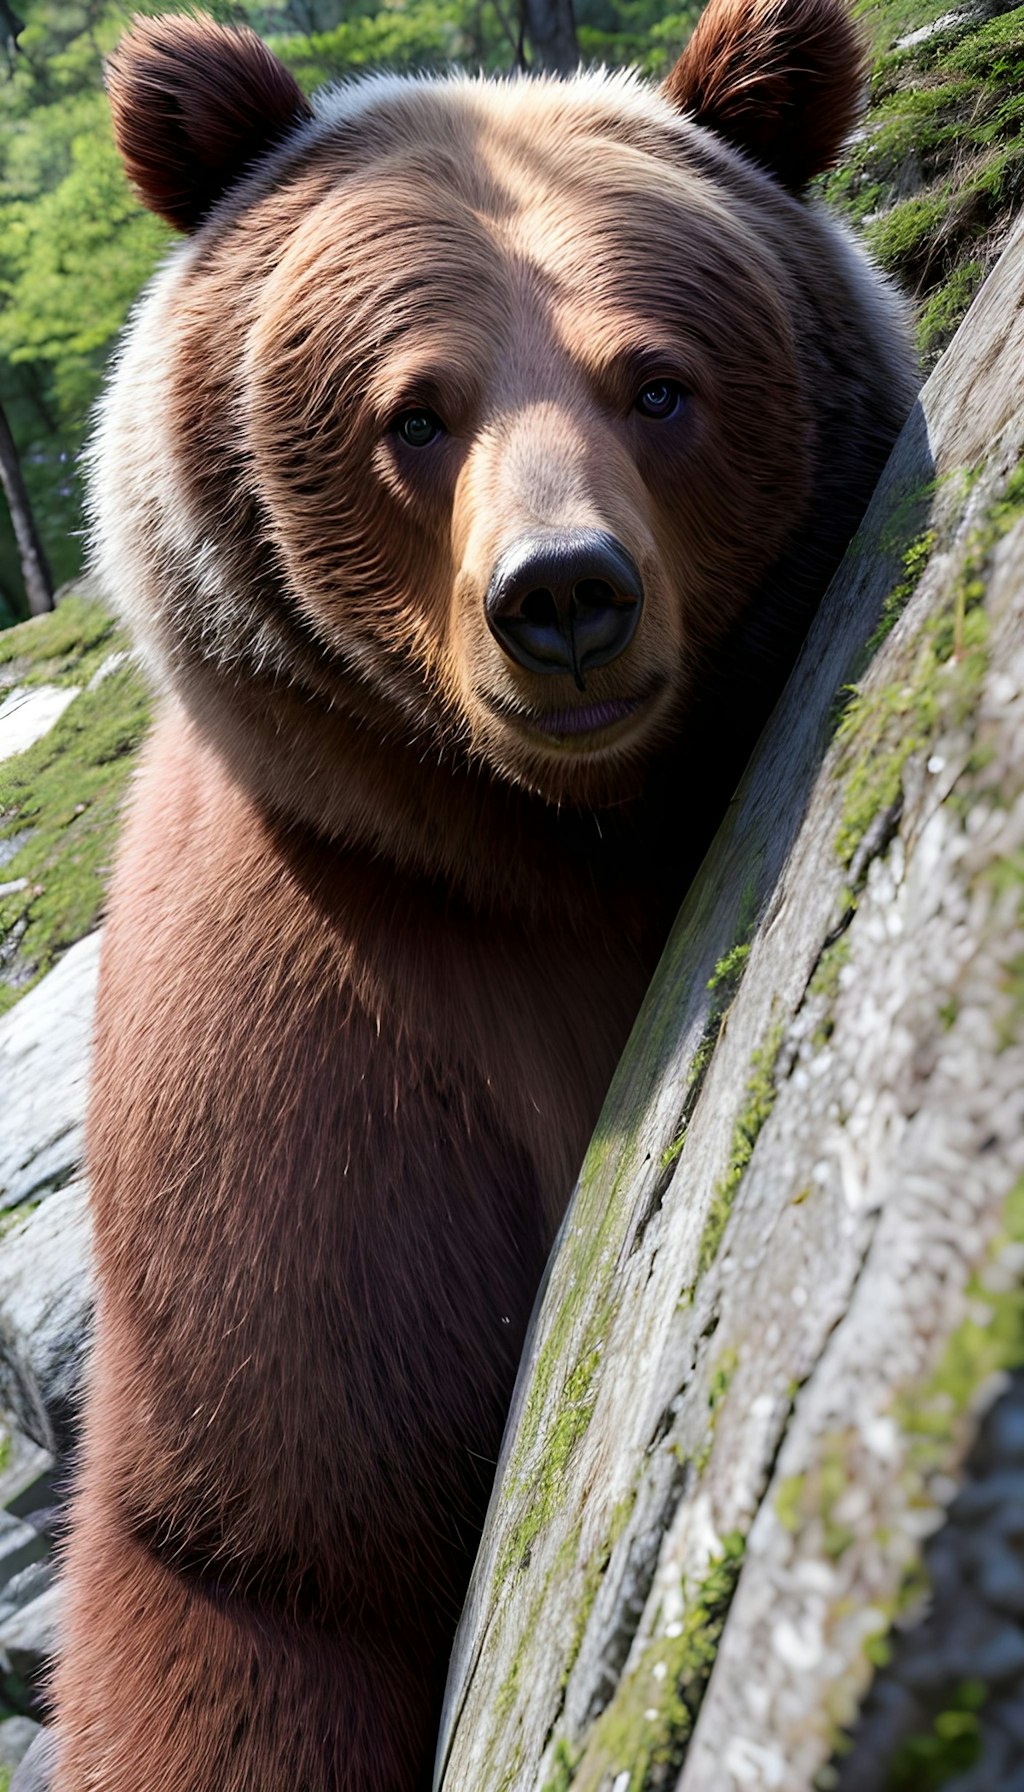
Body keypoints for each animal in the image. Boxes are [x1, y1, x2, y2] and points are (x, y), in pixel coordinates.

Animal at [46, 3, 914, 1792]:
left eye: (658, 382)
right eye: (414, 412)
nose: (564, 593)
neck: (561, 847)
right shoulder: (318, 1095)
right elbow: (296, 1568)